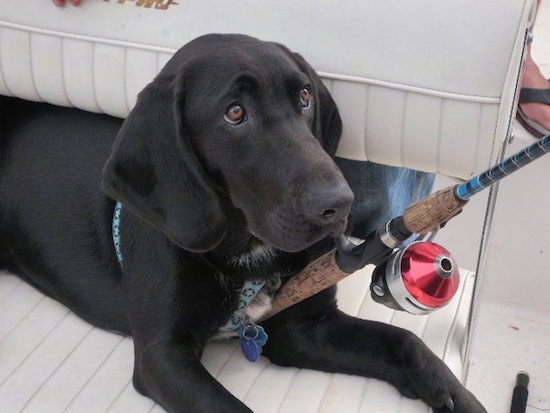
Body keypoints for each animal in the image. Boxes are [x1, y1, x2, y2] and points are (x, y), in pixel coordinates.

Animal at [2, 33, 488, 410]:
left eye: (304, 96)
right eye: (234, 113)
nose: (339, 203)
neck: (247, 251)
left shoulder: (304, 328)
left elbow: (405, 343)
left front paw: (460, 397)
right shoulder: (163, 357)